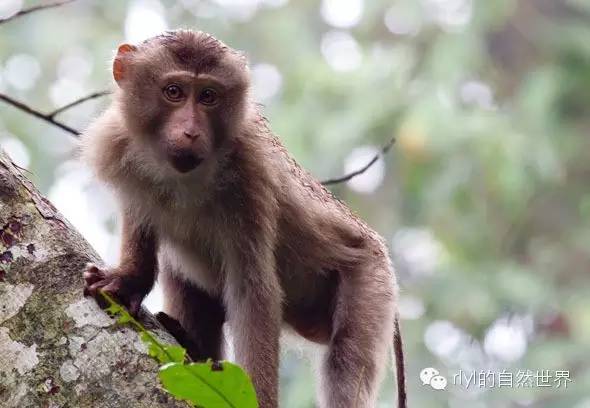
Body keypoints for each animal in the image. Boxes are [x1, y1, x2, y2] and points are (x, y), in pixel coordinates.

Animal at [81, 29, 408, 408]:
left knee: (346, 358)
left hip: (371, 280)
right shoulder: (119, 144)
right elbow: (140, 216)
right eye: (173, 92)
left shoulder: (250, 176)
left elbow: (254, 292)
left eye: (208, 96)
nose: (191, 131)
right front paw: (130, 279)